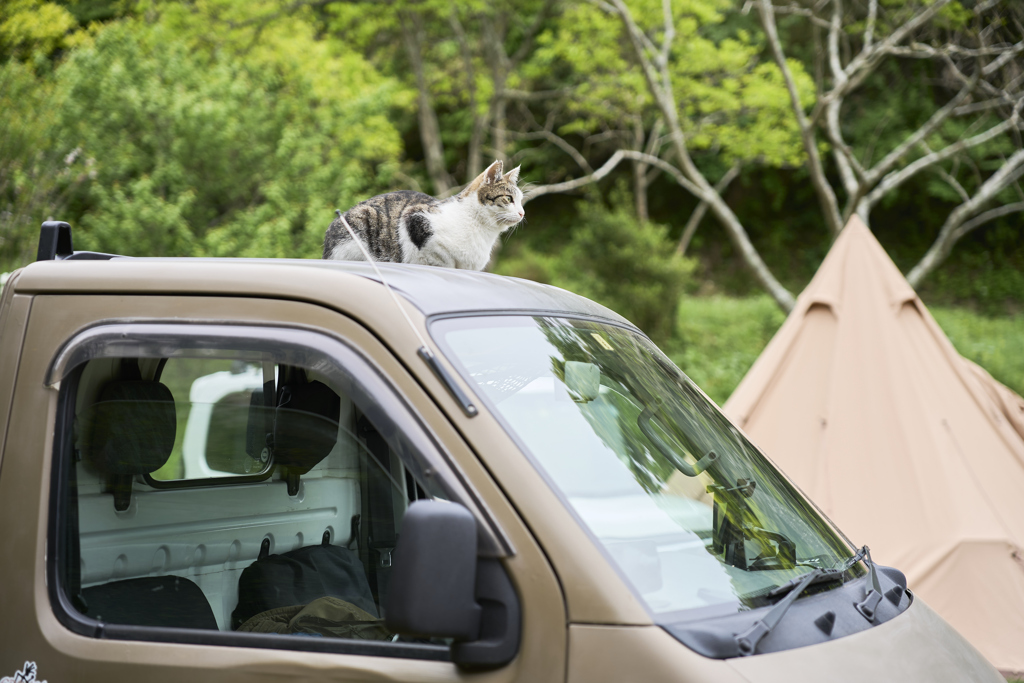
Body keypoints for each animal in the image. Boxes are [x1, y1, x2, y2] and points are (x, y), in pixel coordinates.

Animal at [321, 160, 528, 270]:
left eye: (520, 200)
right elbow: (440, 261)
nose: (522, 213)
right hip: (362, 223)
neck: (484, 232)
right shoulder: (415, 219)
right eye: (509, 199)